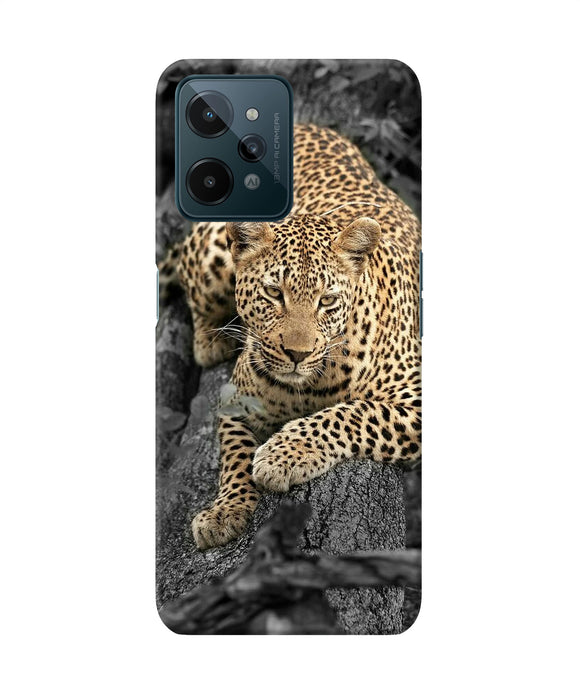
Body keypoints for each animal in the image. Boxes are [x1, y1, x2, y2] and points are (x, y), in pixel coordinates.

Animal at [164, 123, 421, 550]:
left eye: (327, 300)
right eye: (273, 293)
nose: (297, 354)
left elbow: (352, 413)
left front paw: (282, 455)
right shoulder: (235, 399)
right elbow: (234, 455)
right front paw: (224, 511)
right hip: (211, 254)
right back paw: (211, 340)